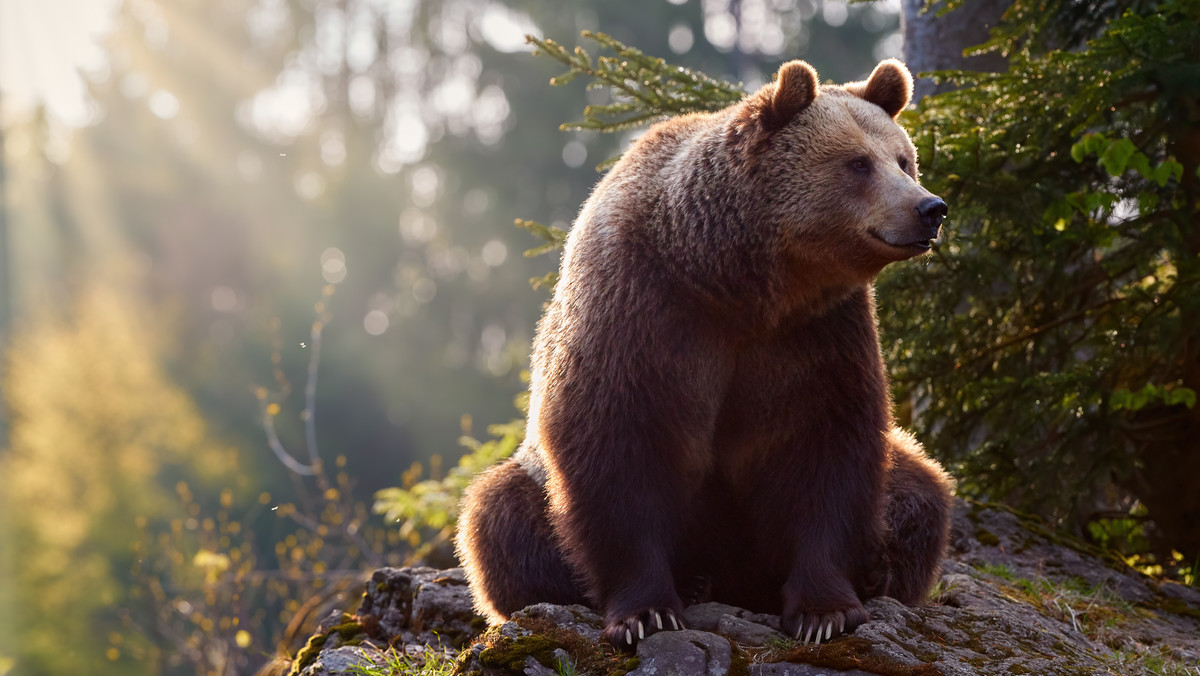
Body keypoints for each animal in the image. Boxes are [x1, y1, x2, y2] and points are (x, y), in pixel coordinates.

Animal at [456, 58, 955, 648]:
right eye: (859, 163)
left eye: (903, 159)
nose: (930, 208)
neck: (734, 282)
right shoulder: (643, 313)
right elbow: (619, 449)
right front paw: (646, 612)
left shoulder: (817, 334)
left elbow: (827, 449)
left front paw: (824, 610)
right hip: (530, 480)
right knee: (498, 518)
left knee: (920, 489)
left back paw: (877, 568)